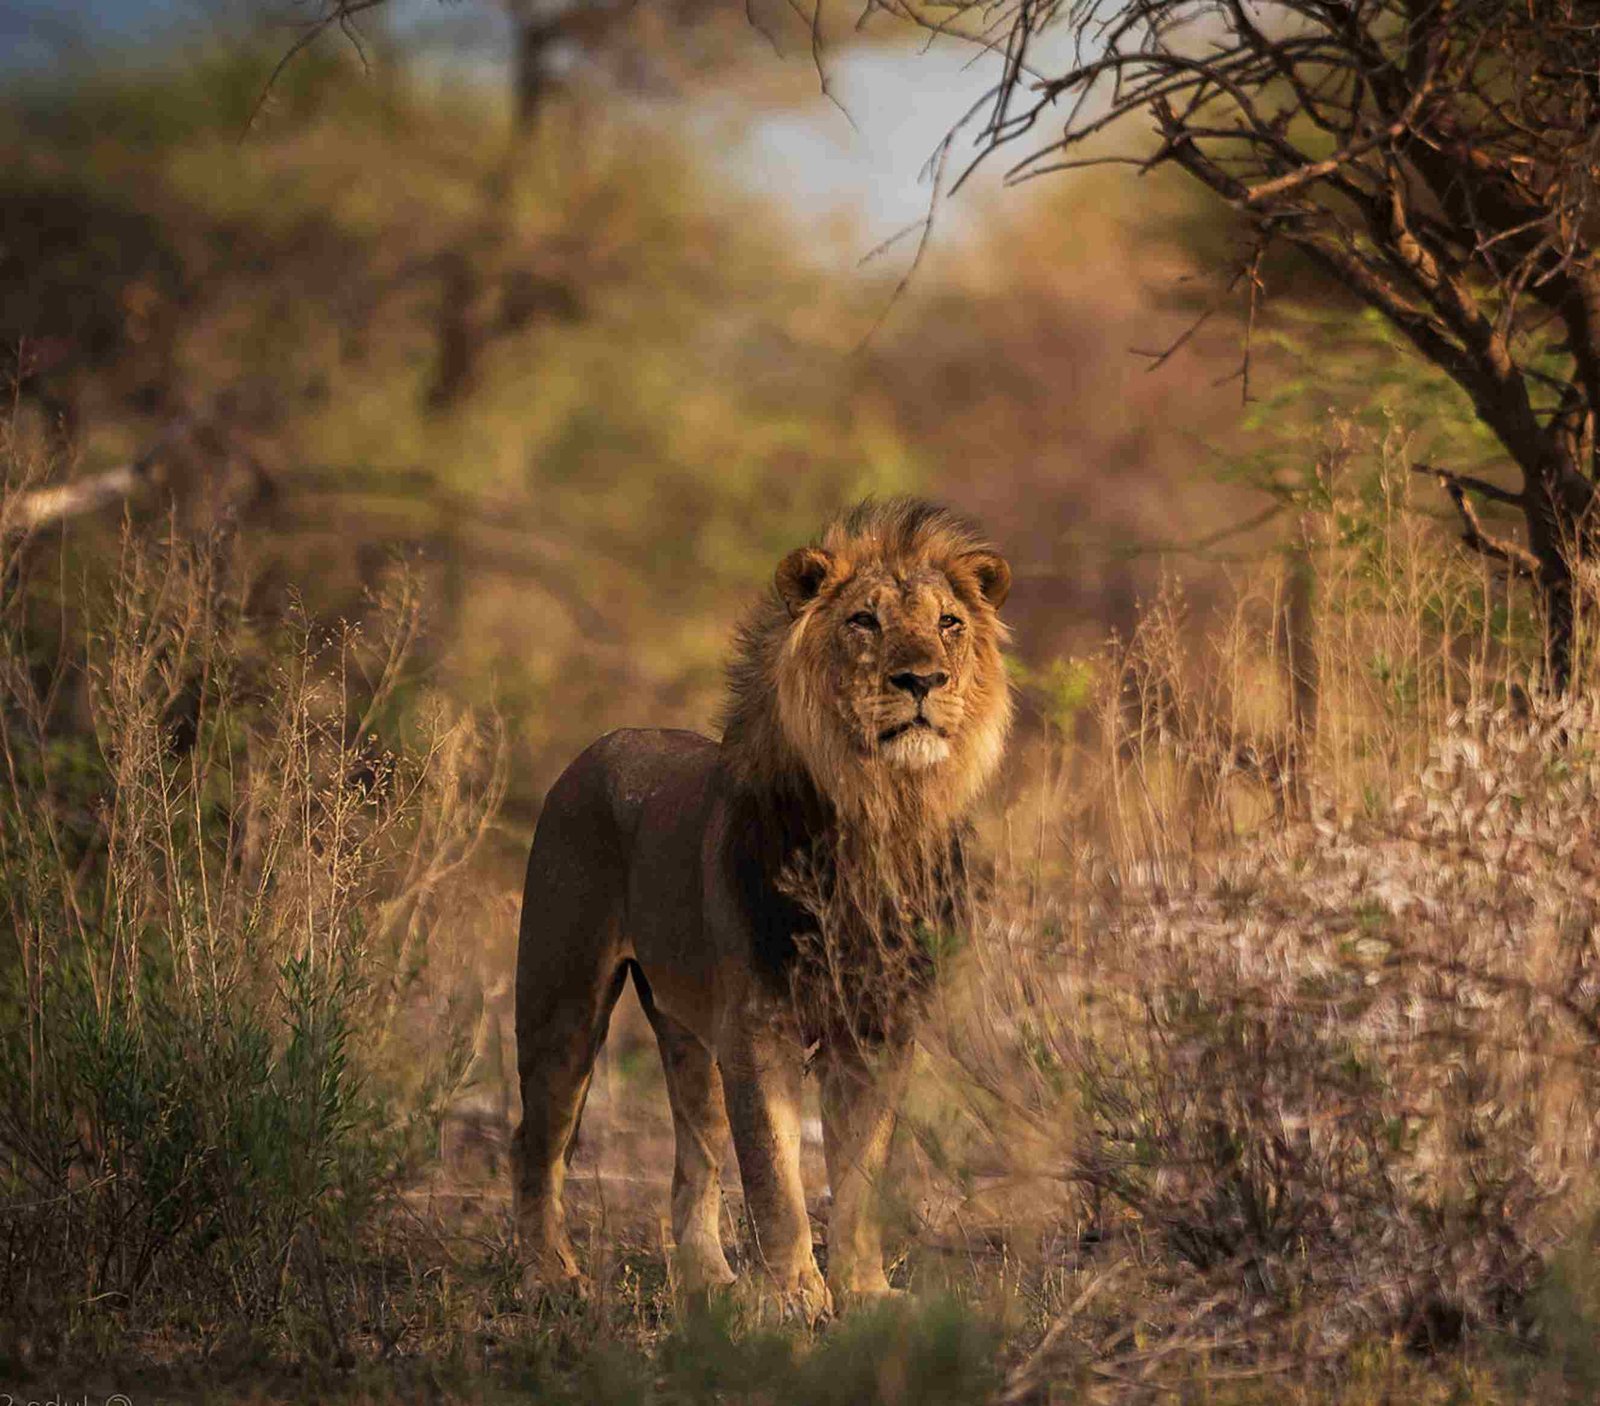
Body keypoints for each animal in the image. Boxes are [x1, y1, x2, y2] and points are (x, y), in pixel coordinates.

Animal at [513, 497, 1013, 1317]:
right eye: (864, 621)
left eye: (949, 623)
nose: (923, 680)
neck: (880, 812)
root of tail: (602, 743)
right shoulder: (758, 1031)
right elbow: (777, 1181)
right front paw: (796, 1299)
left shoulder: (877, 1034)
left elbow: (860, 1180)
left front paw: (864, 1292)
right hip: (564, 1002)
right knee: (536, 1140)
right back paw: (550, 1274)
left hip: (689, 1034)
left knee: (694, 1159)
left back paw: (708, 1280)